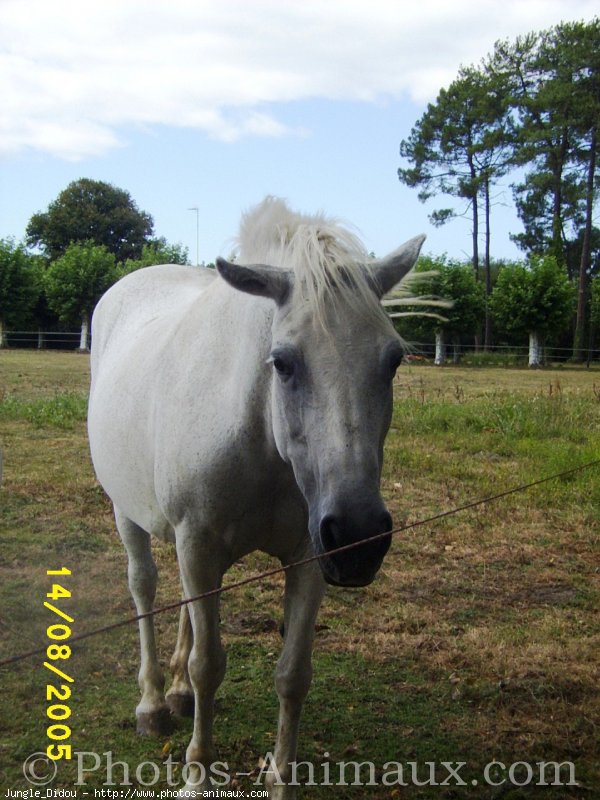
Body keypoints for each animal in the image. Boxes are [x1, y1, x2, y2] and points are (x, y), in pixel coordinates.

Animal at [88, 197, 426, 796]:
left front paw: (281, 778)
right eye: (283, 362)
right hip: (128, 513)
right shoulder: (198, 544)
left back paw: (174, 694)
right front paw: (198, 772)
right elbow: (208, 665)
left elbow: (293, 673)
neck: (258, 438)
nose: (360, 537)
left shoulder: (309, 554)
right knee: (144, 589)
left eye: (393, 360)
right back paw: (152, 703)